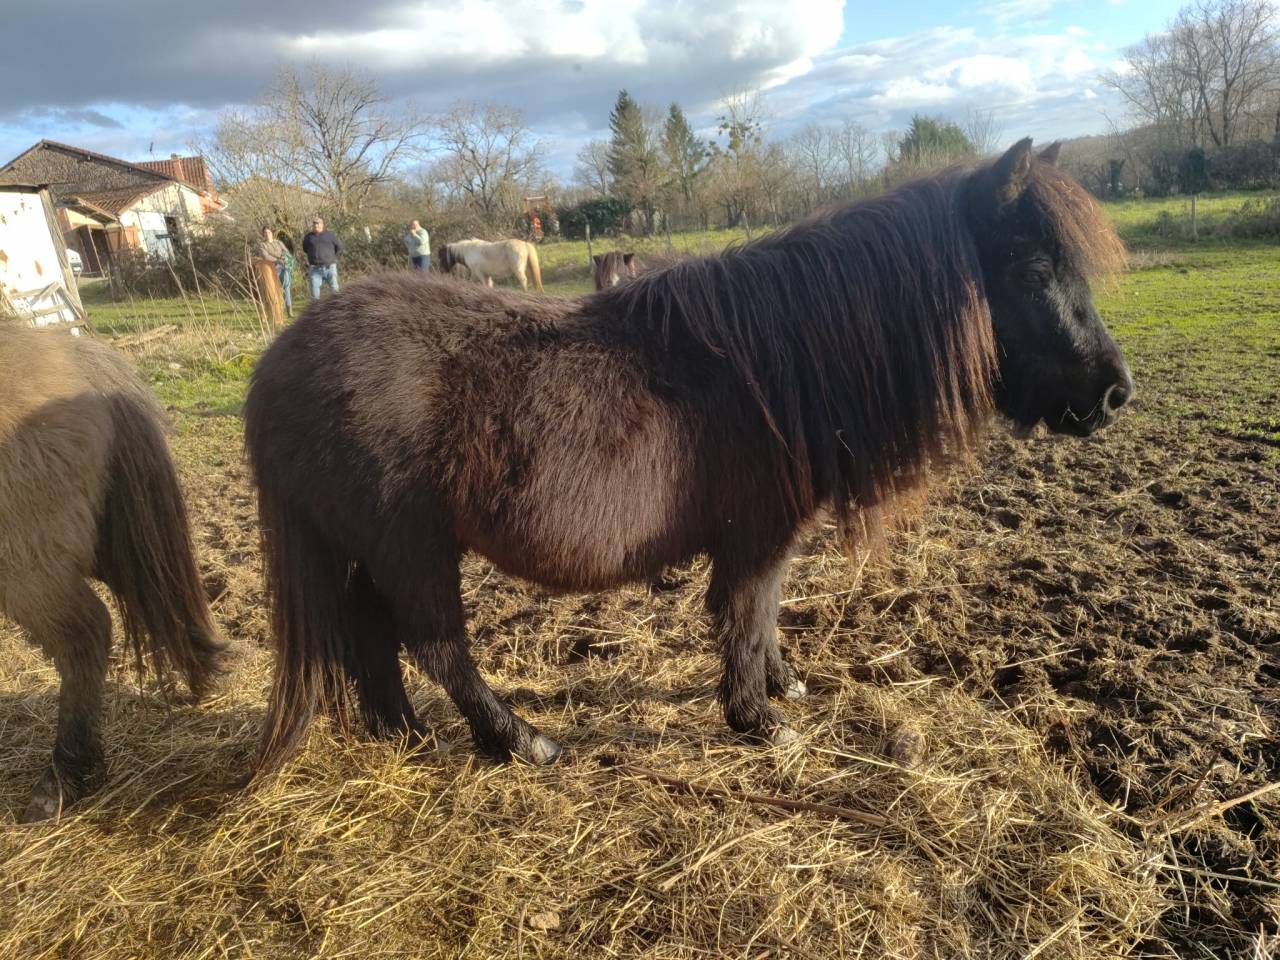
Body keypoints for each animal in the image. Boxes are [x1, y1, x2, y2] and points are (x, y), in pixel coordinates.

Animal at [245, 139, 1132, 772]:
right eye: (1032, 268)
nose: (1116, 392)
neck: (779, 362)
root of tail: (279, 361)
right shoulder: (755, 536)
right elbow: (744, 616)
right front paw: (759, 721)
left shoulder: (771, 537)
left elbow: (765, 617)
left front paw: (782, 686)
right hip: (409, 545)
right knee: (434, 646)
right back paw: (524, 742)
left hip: (370, 550)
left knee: (372, 640)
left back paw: (406, 737)